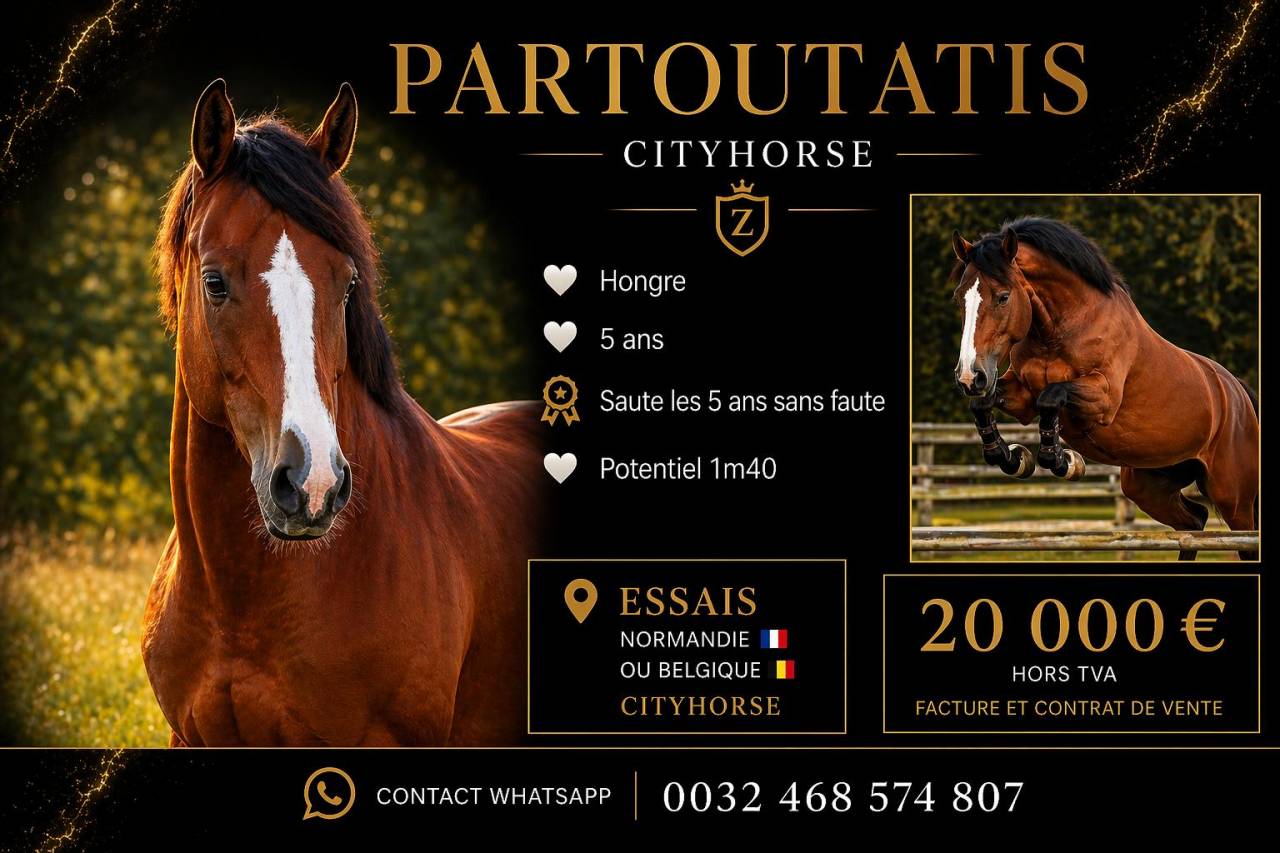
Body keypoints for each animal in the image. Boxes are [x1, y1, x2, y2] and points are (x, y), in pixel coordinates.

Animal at [950, 216, 1259, 561]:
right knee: (1193, 522)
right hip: (1149, 485)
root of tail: (1237, 392)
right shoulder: (1021, 396)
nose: (969, 376)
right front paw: (1012, 458)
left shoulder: (1103, 399)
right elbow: (984, 404)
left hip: (1233, 498)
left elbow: (1051, 397)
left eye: (1003, 296)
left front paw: (1064, 462)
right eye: (960, 298)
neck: (1061, 328)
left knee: (1240, 536)